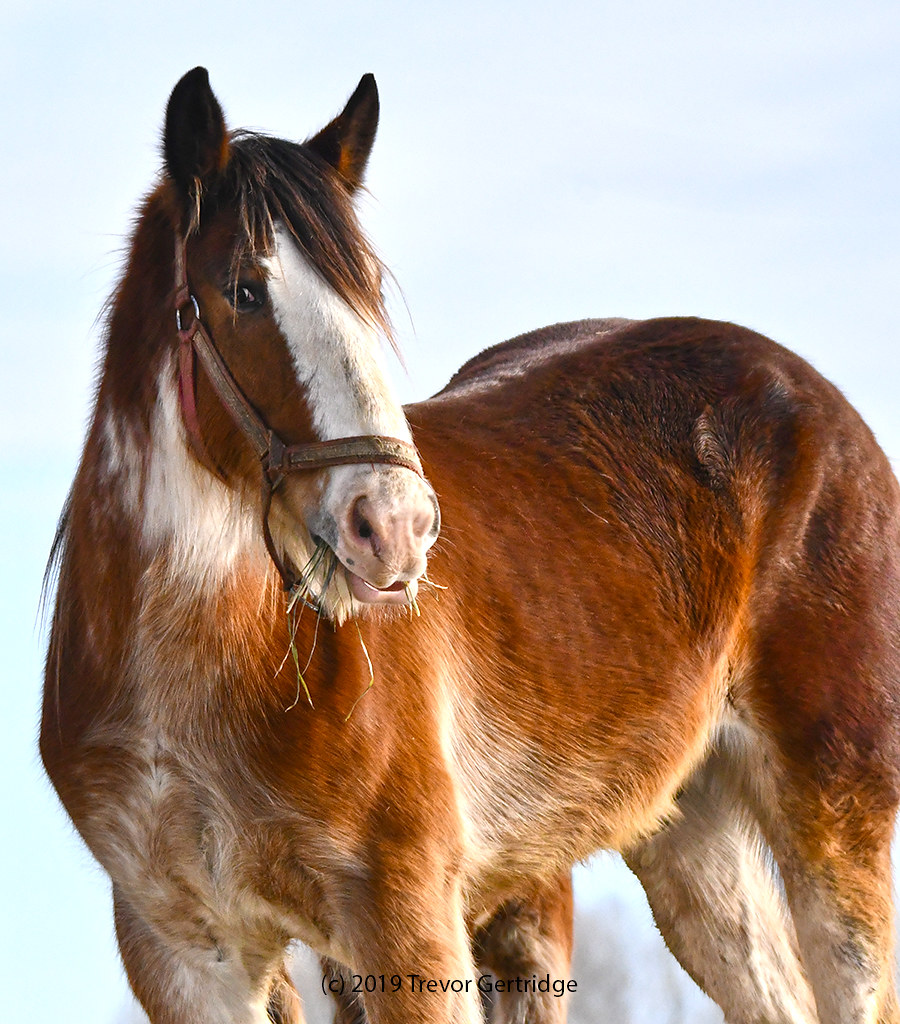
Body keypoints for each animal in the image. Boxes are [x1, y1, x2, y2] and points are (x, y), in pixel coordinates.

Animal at [41, 66, 900, 1024]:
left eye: (367, 295)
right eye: (244, 291)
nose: (395, 527)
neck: (209, 665)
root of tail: (816, 402)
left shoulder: (408, 922)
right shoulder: (183, 956)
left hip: (833, 818)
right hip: (693, 836)